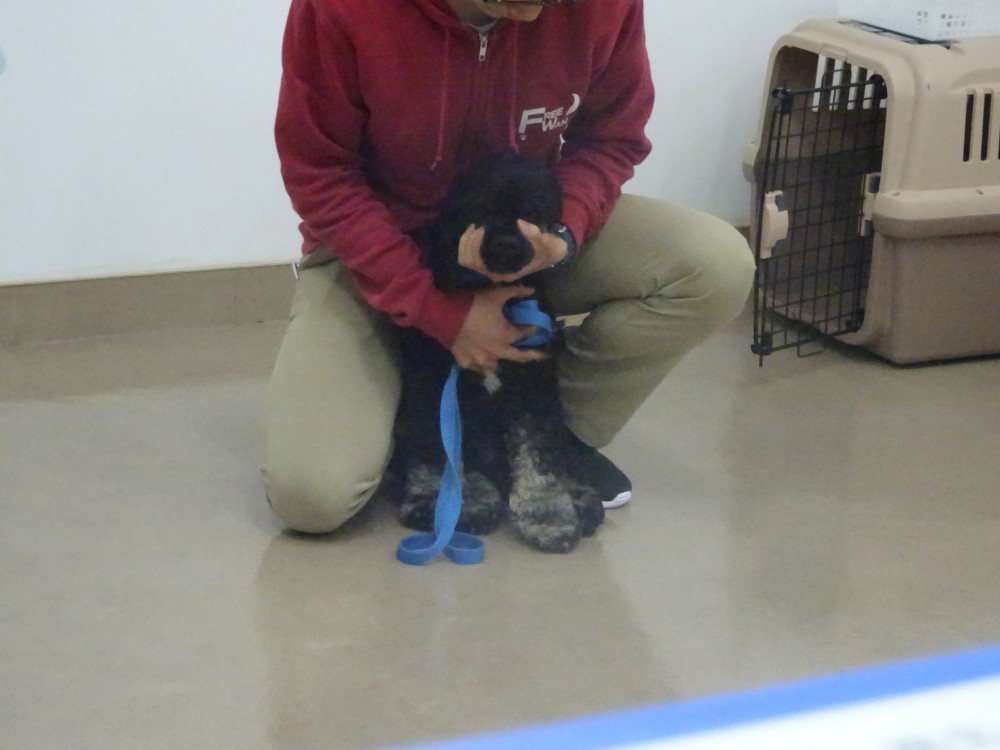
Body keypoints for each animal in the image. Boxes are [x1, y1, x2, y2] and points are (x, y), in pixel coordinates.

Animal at [387, 150, 604, 553]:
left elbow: (539, 454)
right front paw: (454, 504)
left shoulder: (534, 387)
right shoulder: (436, 386)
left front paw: (548, 515)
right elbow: (442, 452)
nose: (506, 246)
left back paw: (581, 499)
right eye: (481, 209)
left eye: (531, 213)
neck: (496, 296)